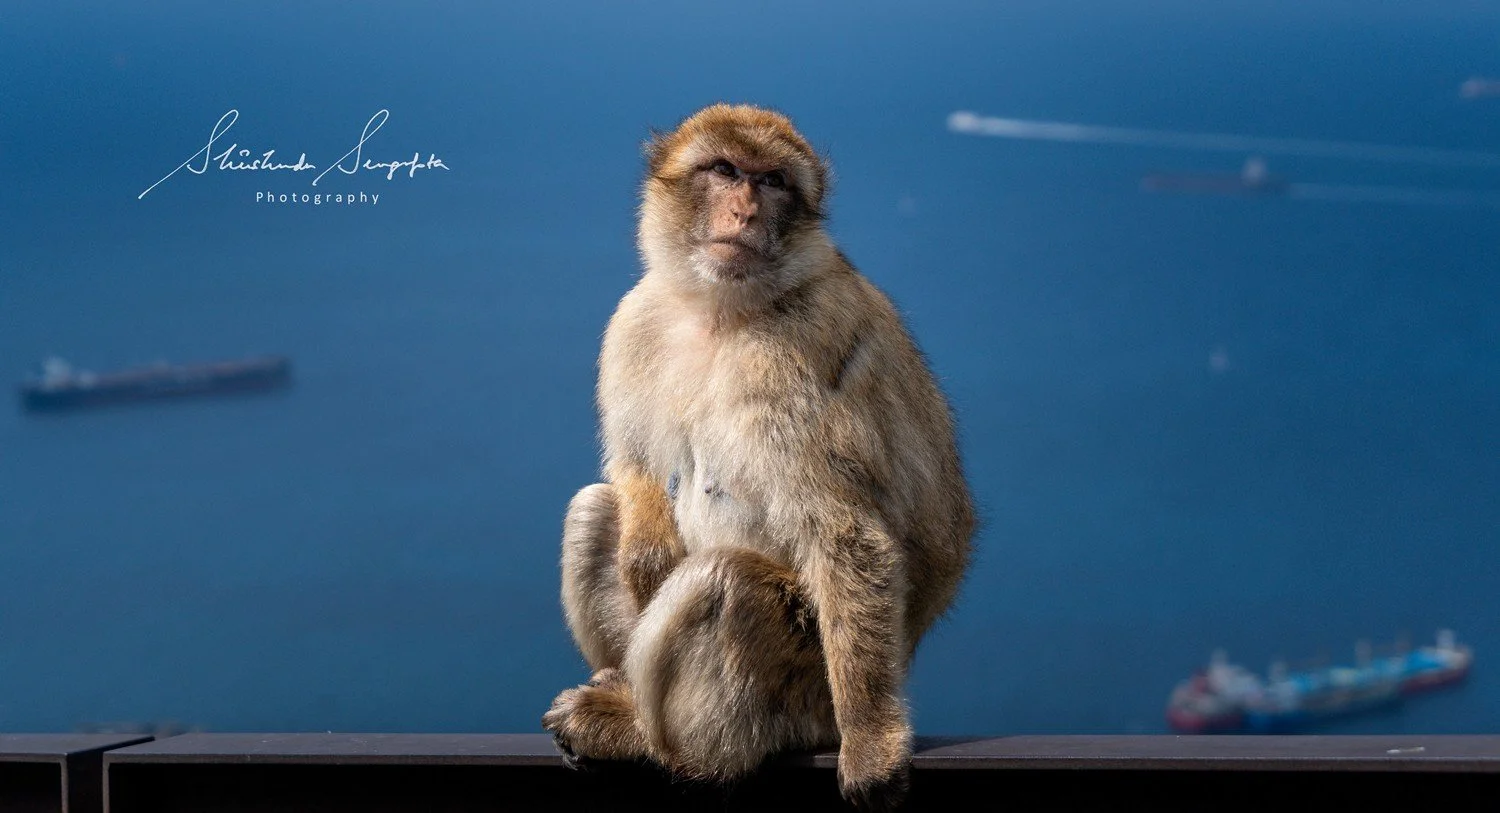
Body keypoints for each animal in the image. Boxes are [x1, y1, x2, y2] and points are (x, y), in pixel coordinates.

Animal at [543, 103, 975, 811]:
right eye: (724, 170)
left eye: (772, 181)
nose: (744, 210)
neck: (721, 309)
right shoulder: (636, 318)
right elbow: (630, 464)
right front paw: (646, 540)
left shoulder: (794, 357)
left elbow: (845, 534)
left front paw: (873, 743)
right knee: (594, 508)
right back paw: (620, 685)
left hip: (807, 689)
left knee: (725, 583)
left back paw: (647, 738)